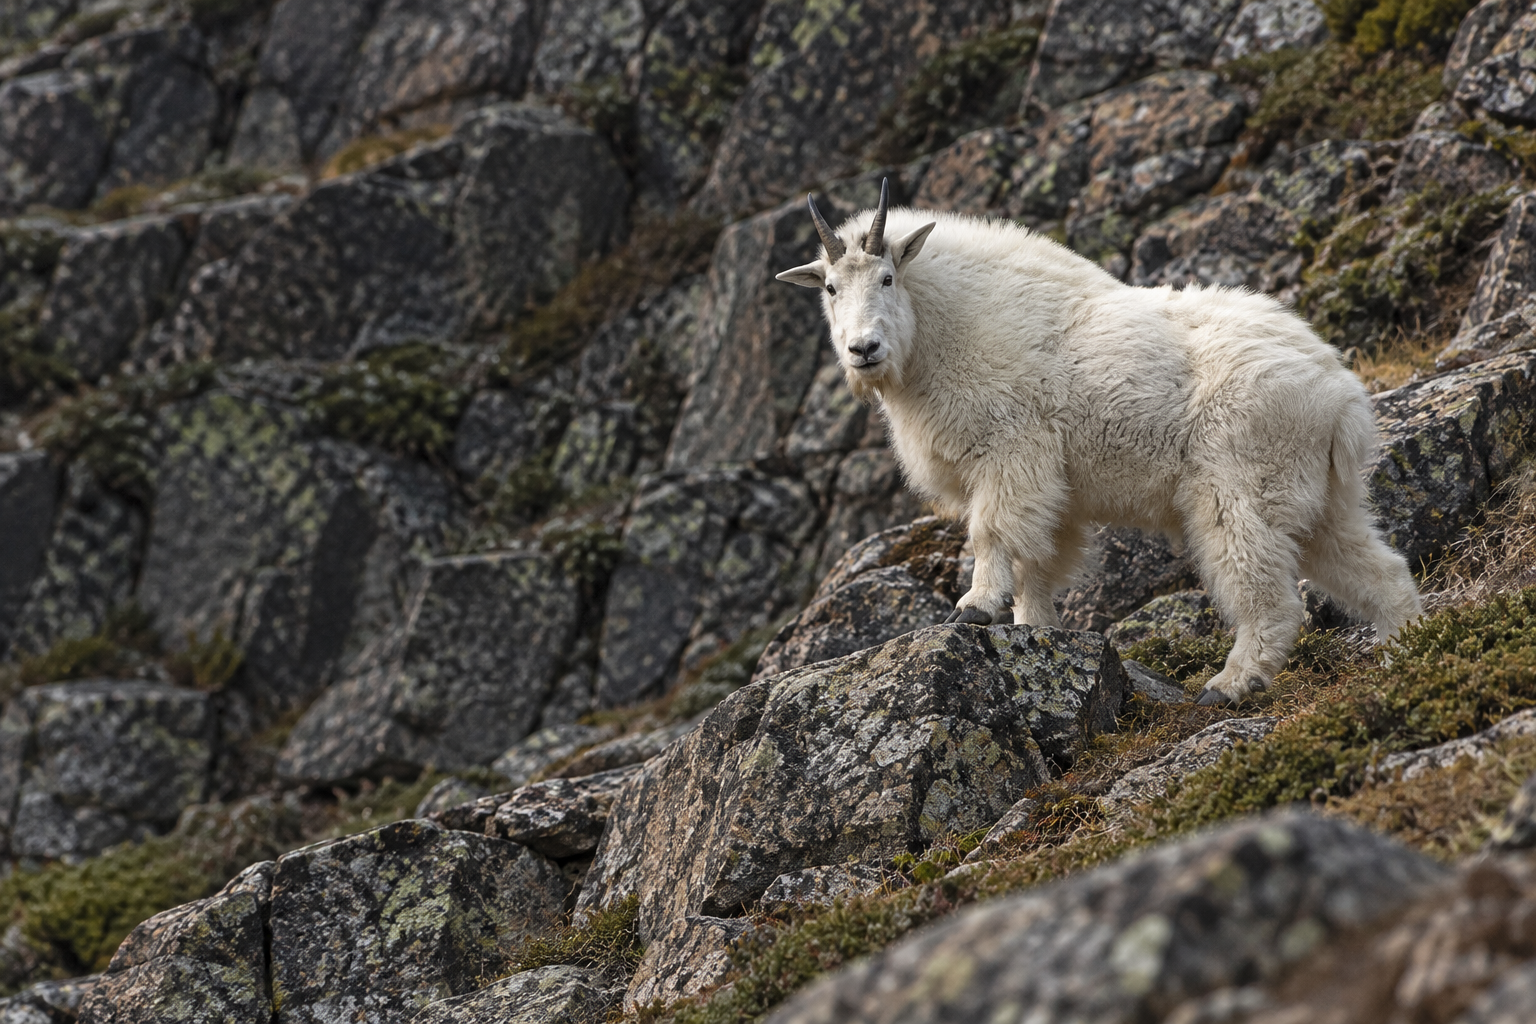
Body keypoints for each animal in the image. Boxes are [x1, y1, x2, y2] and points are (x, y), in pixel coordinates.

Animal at [776, 181, 1421, 704]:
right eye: (829, 288)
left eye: (887, 277)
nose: (863, 350)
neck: (945, 331)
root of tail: (1341, 396)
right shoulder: (1054, 489)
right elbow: (1038, 561)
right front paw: (1034, 628)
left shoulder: (1011, 452)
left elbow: (992, 533)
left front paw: (976, 607)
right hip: (1318, 497)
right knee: (1379, 569)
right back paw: (1403, 651)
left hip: (1243, 487)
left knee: (1270, 594)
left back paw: (1230, 684)